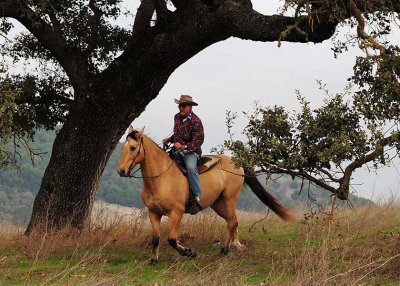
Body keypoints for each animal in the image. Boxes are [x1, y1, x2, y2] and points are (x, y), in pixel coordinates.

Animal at [117, 127, 292, 264]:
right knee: (232, 221)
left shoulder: (176, 213)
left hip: (230, 199)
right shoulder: (153, 213)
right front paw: (154, 259)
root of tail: (237, 162)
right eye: (123, 148)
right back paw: (235, 245)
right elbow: (155, 238)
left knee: (232, 222)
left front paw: (189, 252)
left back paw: (225, 250)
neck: (161, 178)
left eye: (133, 148)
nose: (121, 171)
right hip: (218, 204)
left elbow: (172, 239)